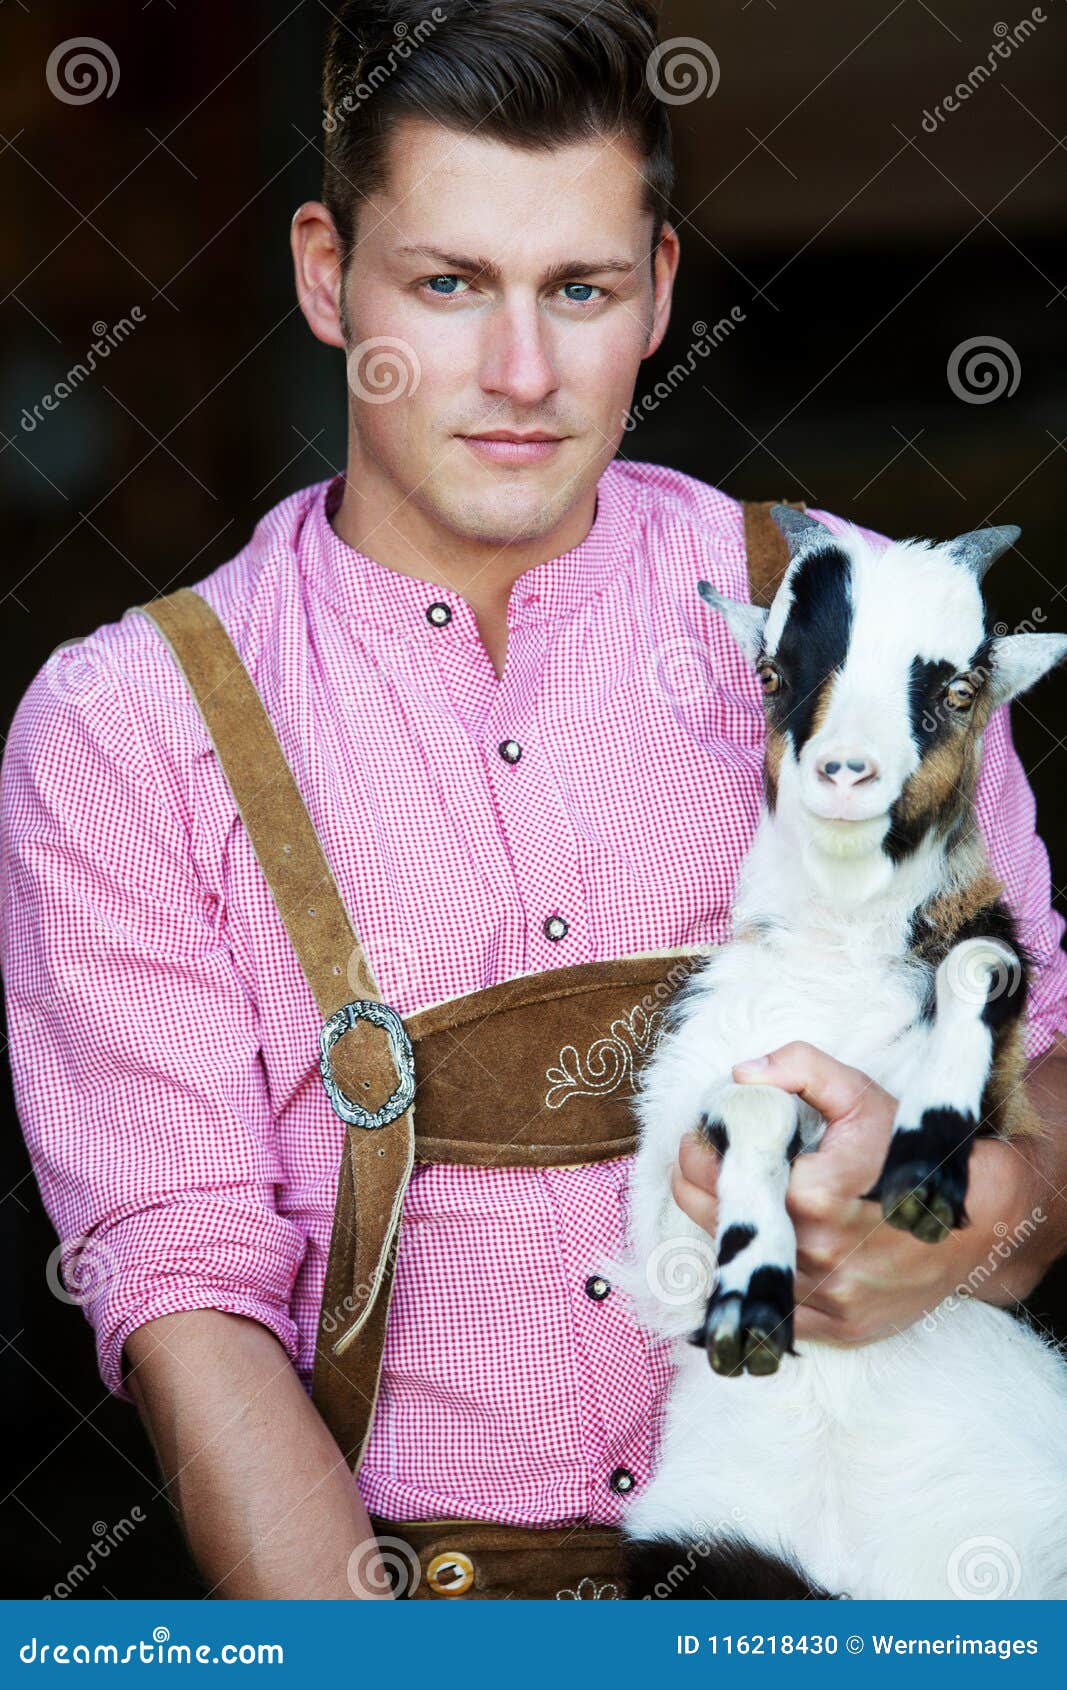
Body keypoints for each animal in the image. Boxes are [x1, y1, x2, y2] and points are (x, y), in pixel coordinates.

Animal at [614, 506, 1067, 1600]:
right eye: (774, 671)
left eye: (956, 689)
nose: (846, 771)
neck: (828, 966)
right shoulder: (670, 1199)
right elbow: (758, 1107)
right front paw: (753, 1297)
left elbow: (980, 965)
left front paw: (927, 1160)